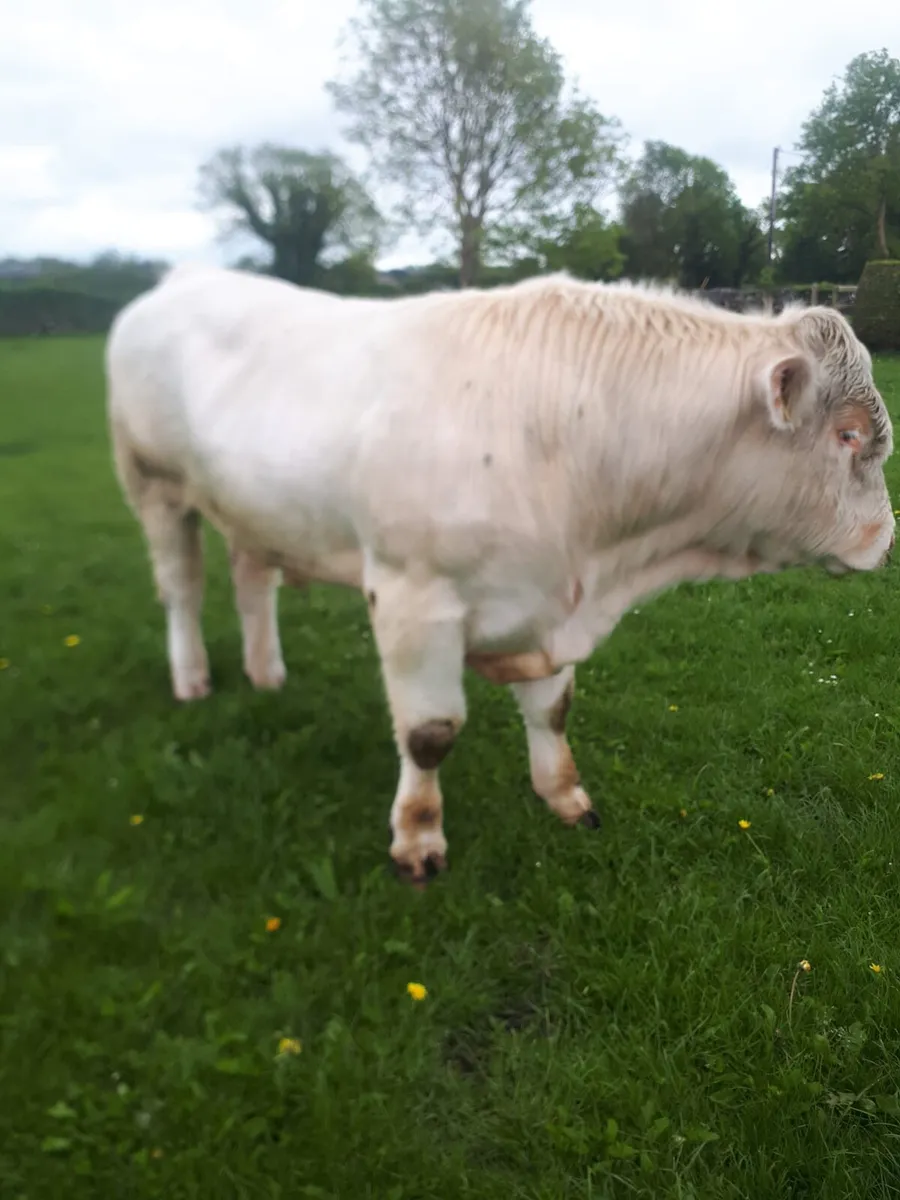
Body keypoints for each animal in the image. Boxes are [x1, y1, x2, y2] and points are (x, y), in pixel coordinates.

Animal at [105, 264, 894, 884]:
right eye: (848, 434)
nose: (884, 539)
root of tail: (187, 277)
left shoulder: (547, 599)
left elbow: (552, 711)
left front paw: (565, 798)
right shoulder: (412, 599)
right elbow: (429, 732)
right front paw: (417, 838)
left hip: (253, 509)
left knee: (251, 582)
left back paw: (266, 672)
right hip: (154, 487)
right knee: (181, 589)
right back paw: (192, 677)